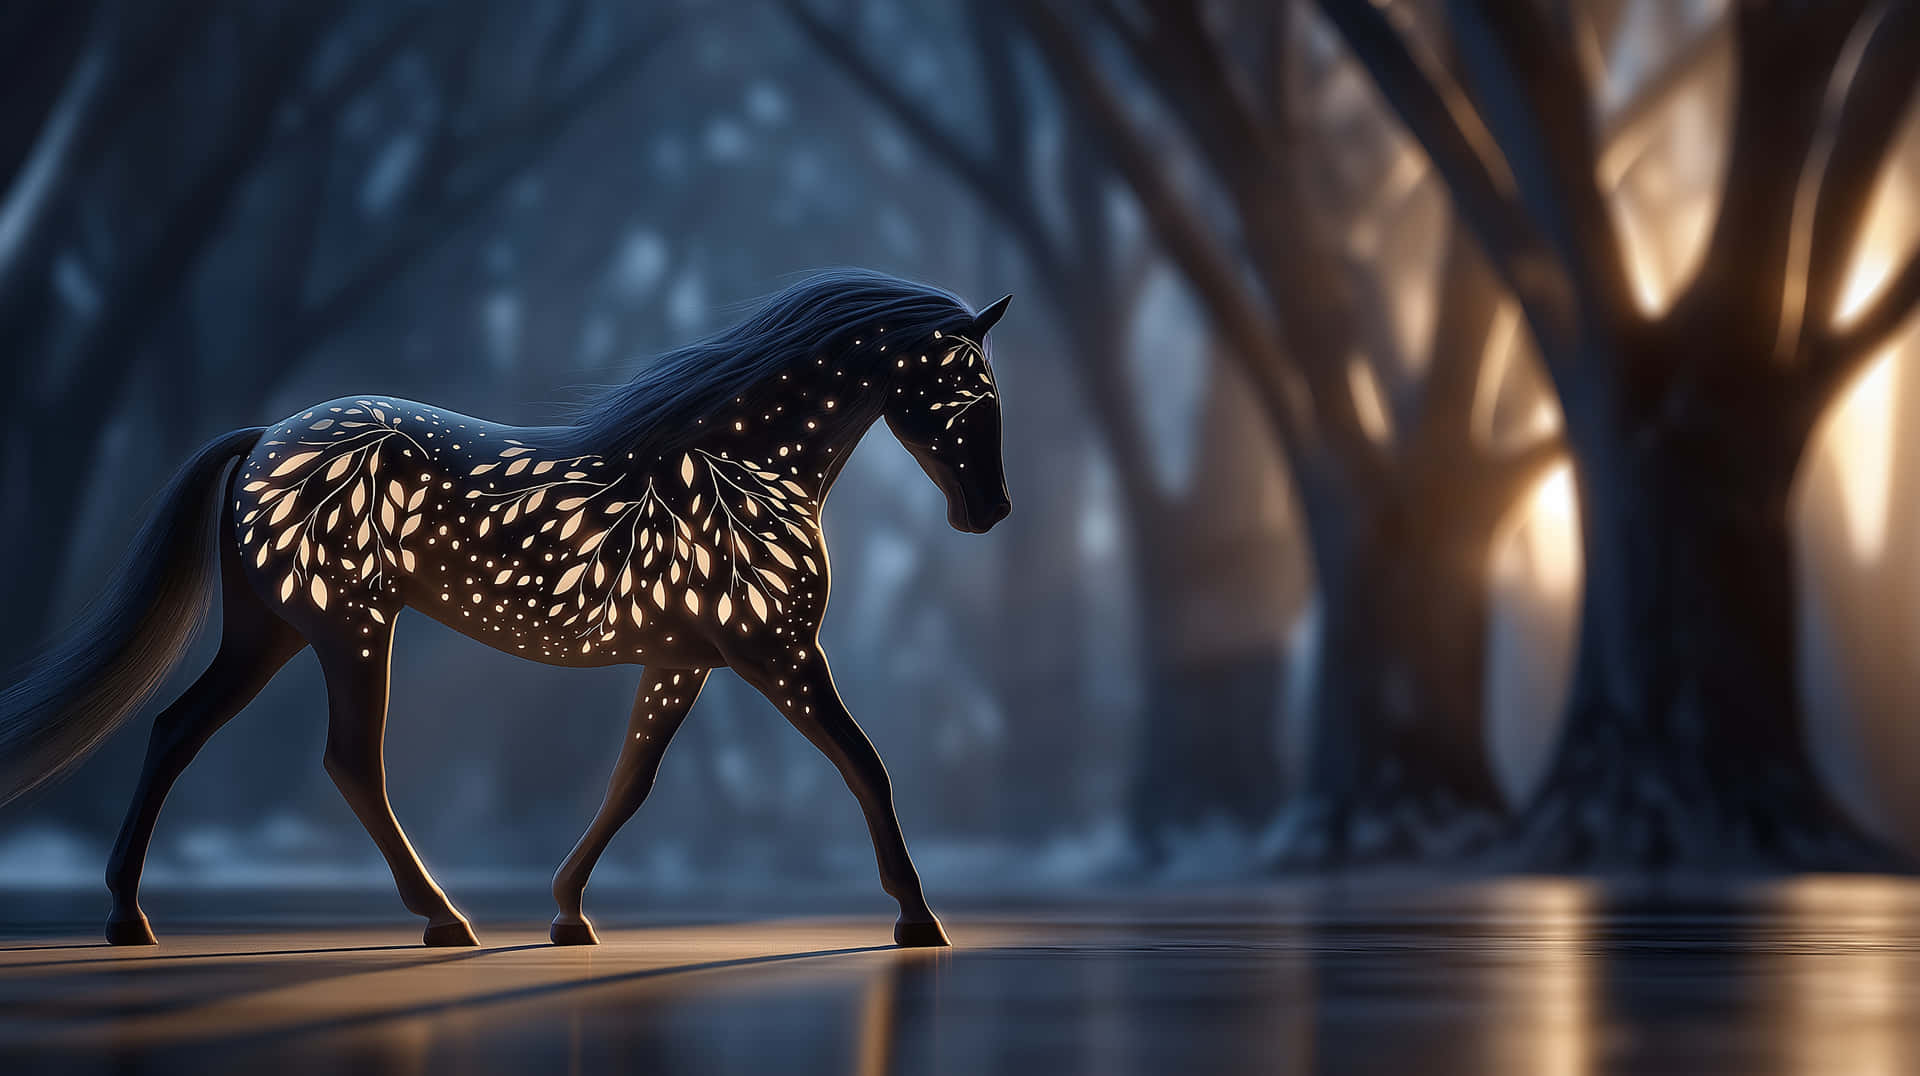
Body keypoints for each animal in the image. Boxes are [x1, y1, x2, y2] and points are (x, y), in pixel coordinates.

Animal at [0, 269, 1011, 950]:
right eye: (974, 394)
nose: (990, 511)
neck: (741, 465)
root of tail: (265, 439)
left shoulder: (685, 661)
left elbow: (630, 783)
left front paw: (568, 913)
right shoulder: (779, 653)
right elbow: (866, 766)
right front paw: (918, 918)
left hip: (273, 628)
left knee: (177, 730)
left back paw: (127, 915)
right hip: (348, 628)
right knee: (348, 761)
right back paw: (443, 920)